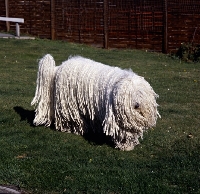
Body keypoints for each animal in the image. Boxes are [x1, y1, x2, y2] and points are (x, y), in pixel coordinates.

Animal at [31, 53, 160, 151]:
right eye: (129, 95)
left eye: (140, 93)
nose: (137, 104)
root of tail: (59, 67)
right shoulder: (117, 120)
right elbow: (123, 132)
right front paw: (125, 146)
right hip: (68, 104)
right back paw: (75, 129)